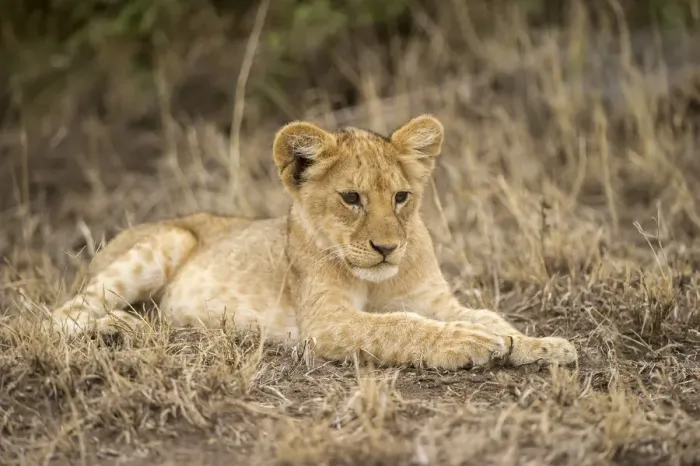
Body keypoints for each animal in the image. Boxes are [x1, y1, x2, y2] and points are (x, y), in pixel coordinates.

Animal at [49, 114, 577, 369]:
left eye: (402, 197)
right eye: (351, 198)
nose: (388, 248)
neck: (381, 280)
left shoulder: (435, 300)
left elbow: (489, 316)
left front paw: (540, 345)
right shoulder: (325, 321)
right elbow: (400, 325)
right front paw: (471, 344)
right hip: (167, 239)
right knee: (54, 316)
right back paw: (122, 329)